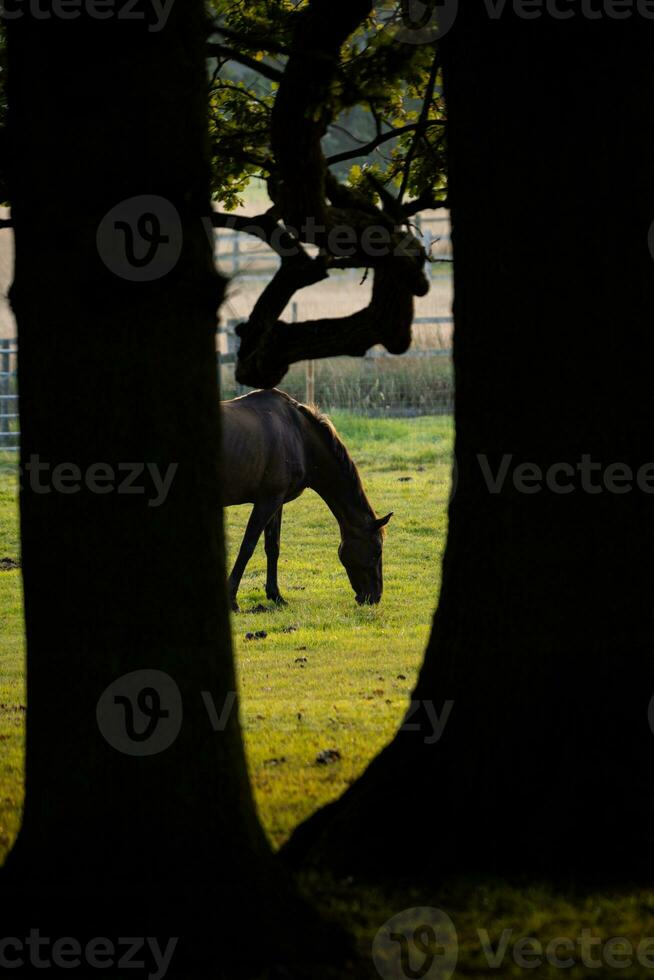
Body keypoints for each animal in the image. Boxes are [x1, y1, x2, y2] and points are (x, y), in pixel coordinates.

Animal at [220, 386, 394, 608]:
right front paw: (232, 600)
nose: (374, 597)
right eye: (377, 550)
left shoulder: (276, 501)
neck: (299, 438)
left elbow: (273, 547)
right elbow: (247, 547)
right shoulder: (267, 500)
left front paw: (276, 596)